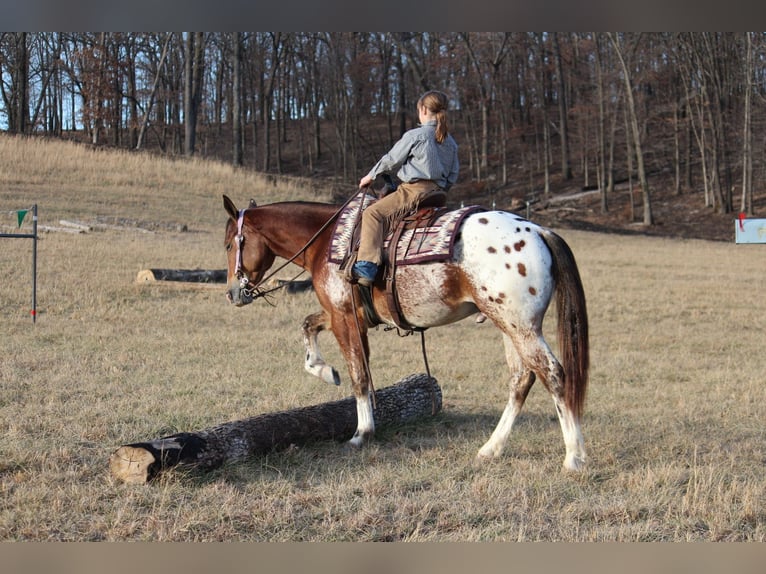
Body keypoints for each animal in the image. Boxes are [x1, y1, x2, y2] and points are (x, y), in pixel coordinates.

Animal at [222, 193, 589, 471]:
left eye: (229, 244)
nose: (233, 293)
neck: (326, 243)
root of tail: (539, 231)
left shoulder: (344, 318)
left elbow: (359, 375)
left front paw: (362, 432)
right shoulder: (347, 316)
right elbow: (309, 325)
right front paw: (324, 370)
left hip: (520, 327)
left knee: (553, 374)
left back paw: (574, 457)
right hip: (508, 325)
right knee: (521, 379)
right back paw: (491, 448)